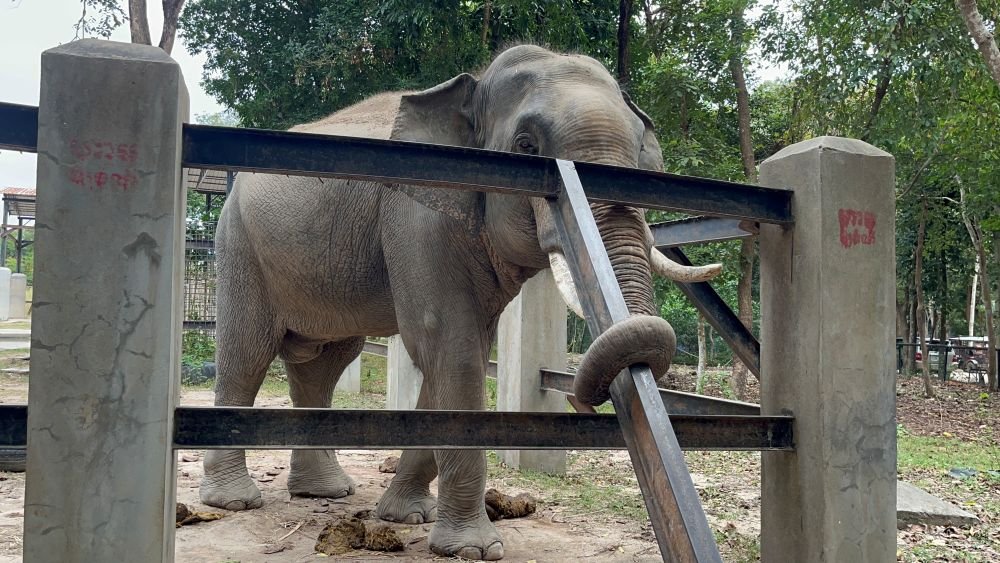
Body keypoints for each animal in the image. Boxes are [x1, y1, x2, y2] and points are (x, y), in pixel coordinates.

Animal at [199, 44, 720, 560]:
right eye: (526, 147)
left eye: (641, 160)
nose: (587, 402)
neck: (474, 82)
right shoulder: (417, 215)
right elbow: (451, 348)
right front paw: (473, 549)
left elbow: (456, 355)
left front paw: (407, 516)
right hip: (240, 245)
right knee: (247, 354)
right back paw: (233, 501)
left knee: (326, 364)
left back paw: (324, 491)